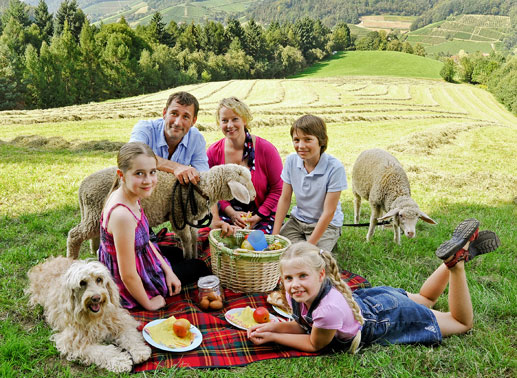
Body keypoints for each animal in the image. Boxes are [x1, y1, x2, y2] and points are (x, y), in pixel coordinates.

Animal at [66, 164, 256, 262]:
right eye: (245, 181)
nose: (254, 196)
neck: (199, 189)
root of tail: (82, 187)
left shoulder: (190, 218)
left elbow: (194, 237)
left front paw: (195, 255)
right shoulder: (178, 216)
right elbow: (187, 239)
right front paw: (188, 258)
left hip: (94, 213)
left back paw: (94, 250)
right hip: (94, 211)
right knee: (75, 234)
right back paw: (72, 259)